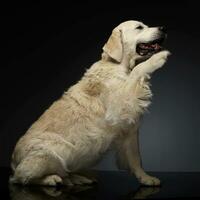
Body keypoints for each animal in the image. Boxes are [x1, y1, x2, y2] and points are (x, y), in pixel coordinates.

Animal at [9, 19, 170, 186]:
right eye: (139, 27)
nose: (164, 28)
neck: (118, 65)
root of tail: (13, 162)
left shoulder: (130, 130)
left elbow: (136, 158)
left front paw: (145, 178)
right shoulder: (119, 106)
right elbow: (137, 71)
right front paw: (158, 58)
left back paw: (79, 178)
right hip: (55, 149)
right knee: (22, 177)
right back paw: (51, 179)